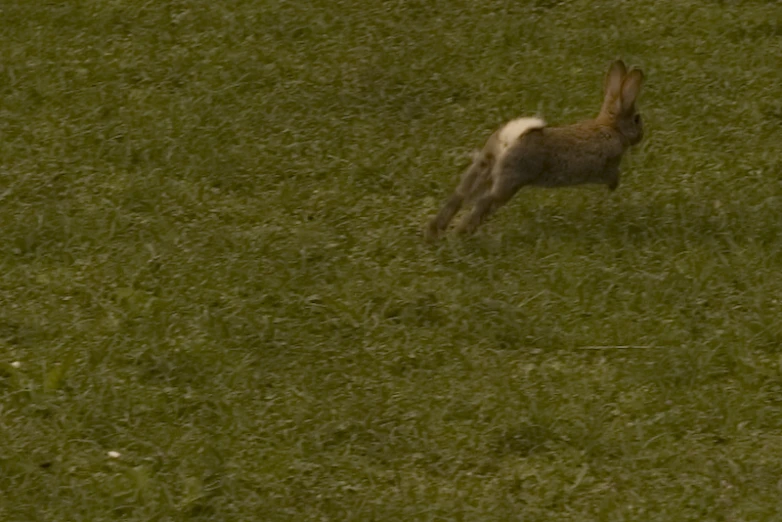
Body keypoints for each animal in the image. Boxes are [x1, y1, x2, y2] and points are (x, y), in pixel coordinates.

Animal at [426, 59, 648, 240]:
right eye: (637, 119)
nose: (641, 135)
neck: (610, 128)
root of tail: (510, 138)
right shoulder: (607, 164)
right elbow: (612, 174)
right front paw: (613, 187)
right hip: (511, 179)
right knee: (484, 202)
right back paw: (459, 234)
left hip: (483, 166)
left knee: (459, 195)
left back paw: (435, 233)